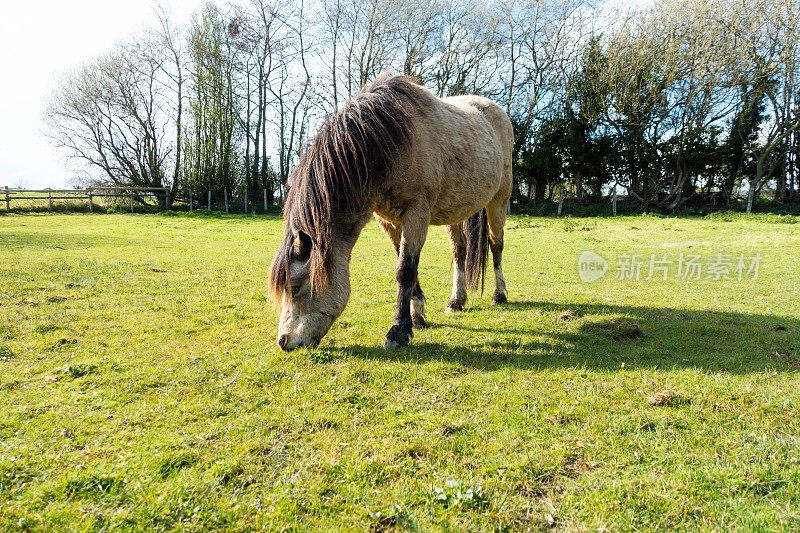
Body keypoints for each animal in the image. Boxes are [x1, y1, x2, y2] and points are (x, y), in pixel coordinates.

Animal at [268, 74, 512, 350]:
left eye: (295, 288)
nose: (283, 341)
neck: (387, 142)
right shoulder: (389, 220)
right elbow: (405, 264)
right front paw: (416, 316)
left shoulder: (417, 213)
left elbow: (404, 270)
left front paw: (398, 331)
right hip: (456, 212)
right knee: (459, 251)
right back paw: (456, 301)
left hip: (499, 200)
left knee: (496, 245)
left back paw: (499, 295)